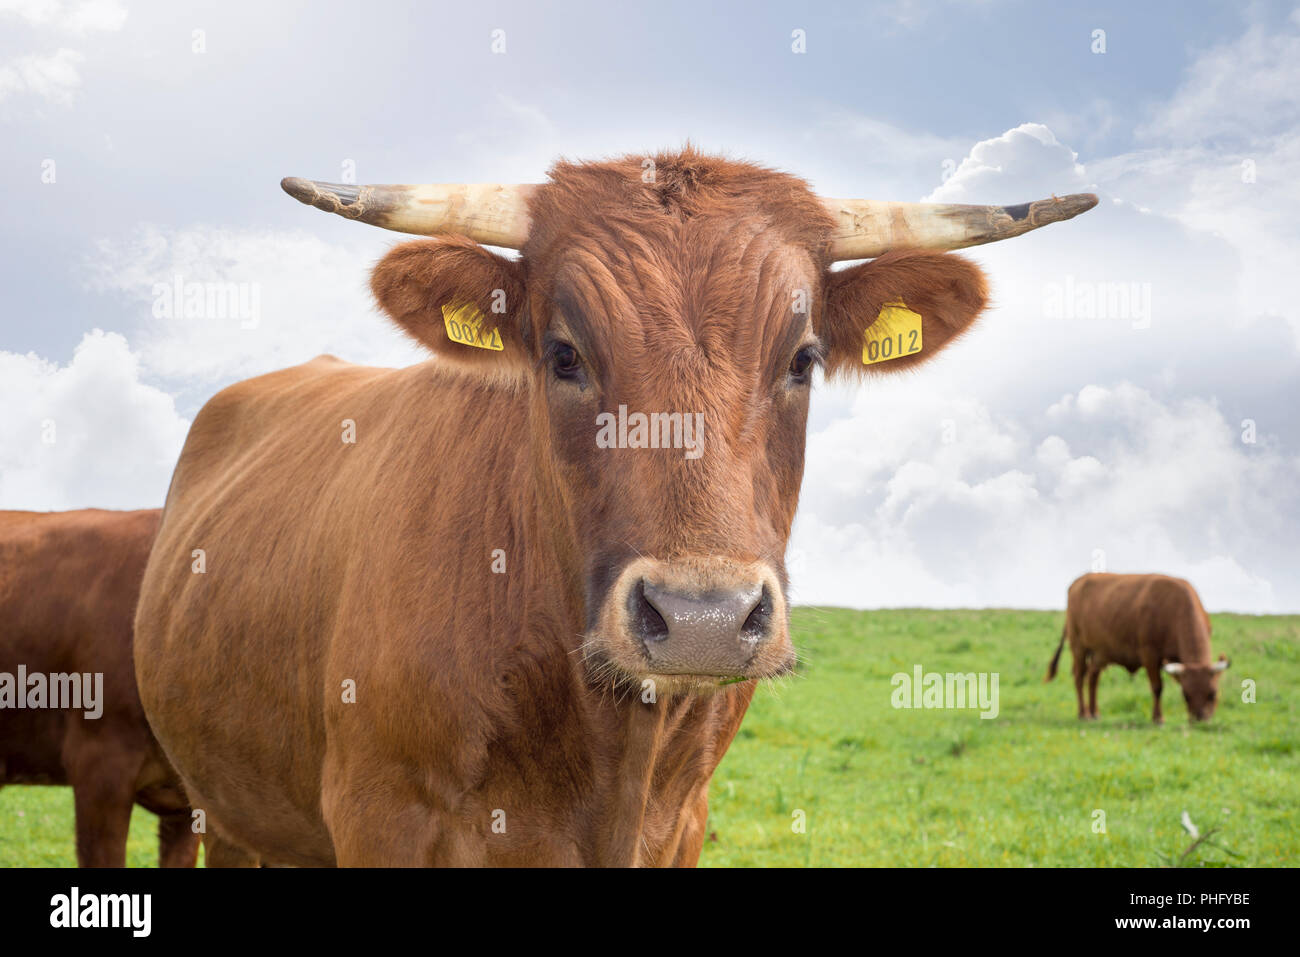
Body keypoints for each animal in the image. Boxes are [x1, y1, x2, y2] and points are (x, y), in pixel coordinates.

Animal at [134, 143, 1097, 868]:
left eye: (803, 358)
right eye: (564, 354)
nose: (703, 618)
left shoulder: (683, 825)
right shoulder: (383, 816)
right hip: (229, 806)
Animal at [1045, 572, 1227, 722]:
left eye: (1213, 694)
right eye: (1186, 695)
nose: (1200, 720)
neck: (1175, 608)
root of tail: (1078, 581)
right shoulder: (1149, 655)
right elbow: (1157, 687)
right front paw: (1158, 718)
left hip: (1099, 654)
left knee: (1092, 678)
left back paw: (1094, 712)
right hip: (1079, 647)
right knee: (1079, 677)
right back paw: (1083, 713)